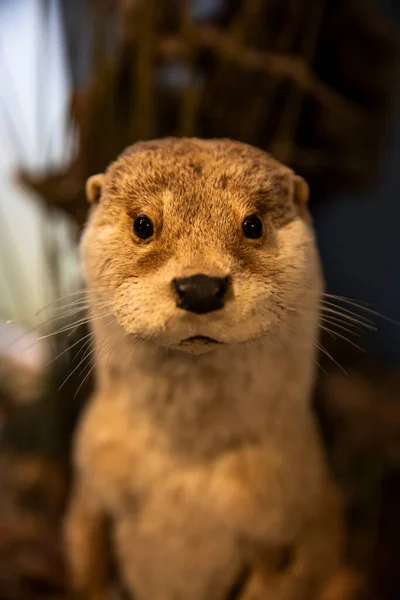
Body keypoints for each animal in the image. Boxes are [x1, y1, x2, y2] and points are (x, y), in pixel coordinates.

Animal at [65, 138, 344, 600]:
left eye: (253, 224)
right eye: (143, 224)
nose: (199, 287)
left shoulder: (284, 519)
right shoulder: (92, 479)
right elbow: (85, 561)